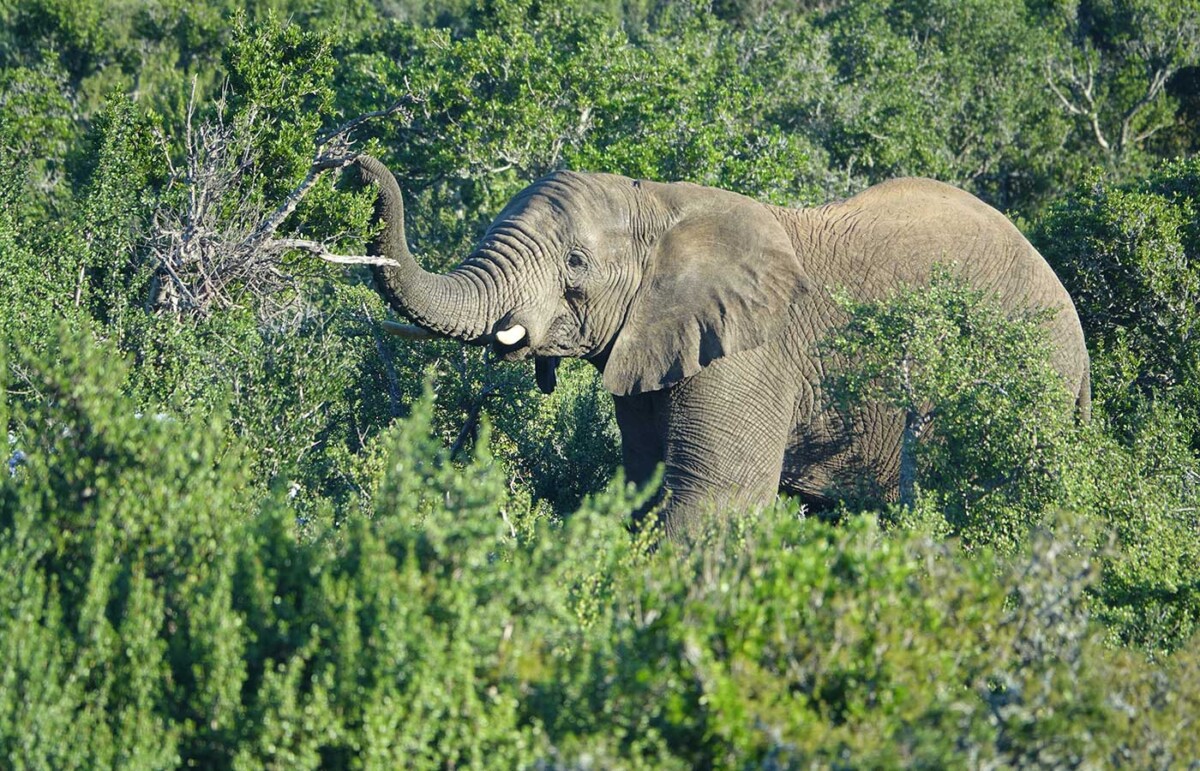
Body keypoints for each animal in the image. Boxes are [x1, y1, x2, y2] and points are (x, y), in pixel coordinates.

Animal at [350, 154, 1094, 533]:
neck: (658, 204)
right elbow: (646, 483)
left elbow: (711, 500)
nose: (355, 163)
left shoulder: (751, 356)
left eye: (575, 265)